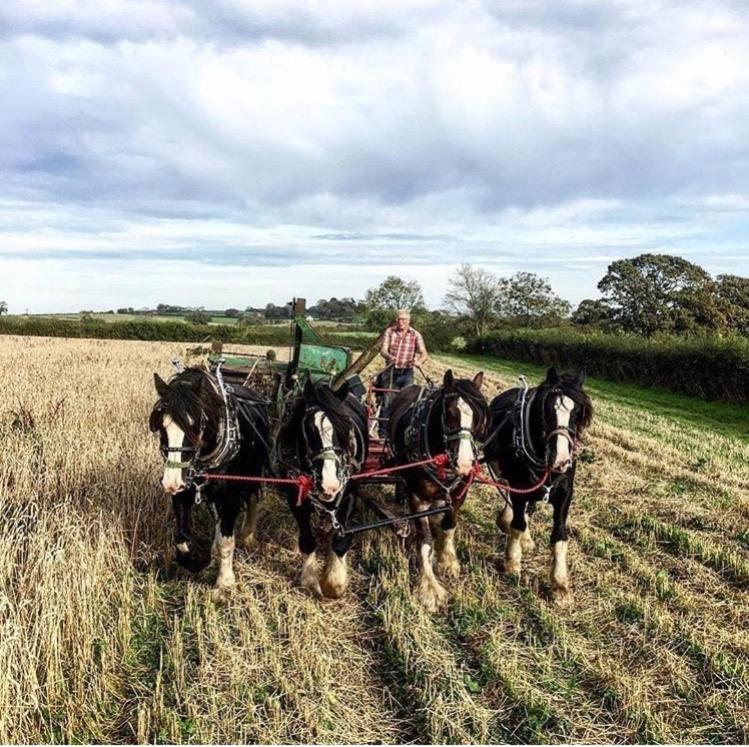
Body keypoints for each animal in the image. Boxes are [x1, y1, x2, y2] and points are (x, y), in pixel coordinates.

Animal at [149, 368, 268, 596]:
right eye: (160, 426)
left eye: (197, 425)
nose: (170, 481)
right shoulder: (183, 492)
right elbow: (182, 539)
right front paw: (197, 561)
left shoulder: (230, 498)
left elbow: (226, 540)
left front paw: (224, 582)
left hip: (254, 473)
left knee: (253, 498)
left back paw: (248, 535)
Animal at [274, 380, 368, 600]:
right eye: (308, 428)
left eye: (346, 427)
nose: (330, 484)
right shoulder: (295, 498)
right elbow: (307, 541)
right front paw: (310, 580)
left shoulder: (349, 495)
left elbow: (340, 541)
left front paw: (334, 583)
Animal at [388, 370, 488, 612]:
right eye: (449, 412)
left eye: (478, 417)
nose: (464, 463)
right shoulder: (417, 498)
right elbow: (424, 541)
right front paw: (430, 587)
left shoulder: (459, 493)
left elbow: (449, 525)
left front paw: (448, 560)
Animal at [482, 368, 592, 608]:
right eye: (547, 411)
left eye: (577, 413)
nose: (561, 461)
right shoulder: (518, 486)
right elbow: (517, 523)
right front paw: (513, 563)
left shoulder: (564, 495)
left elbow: (559, 536)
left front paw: (560, 585)